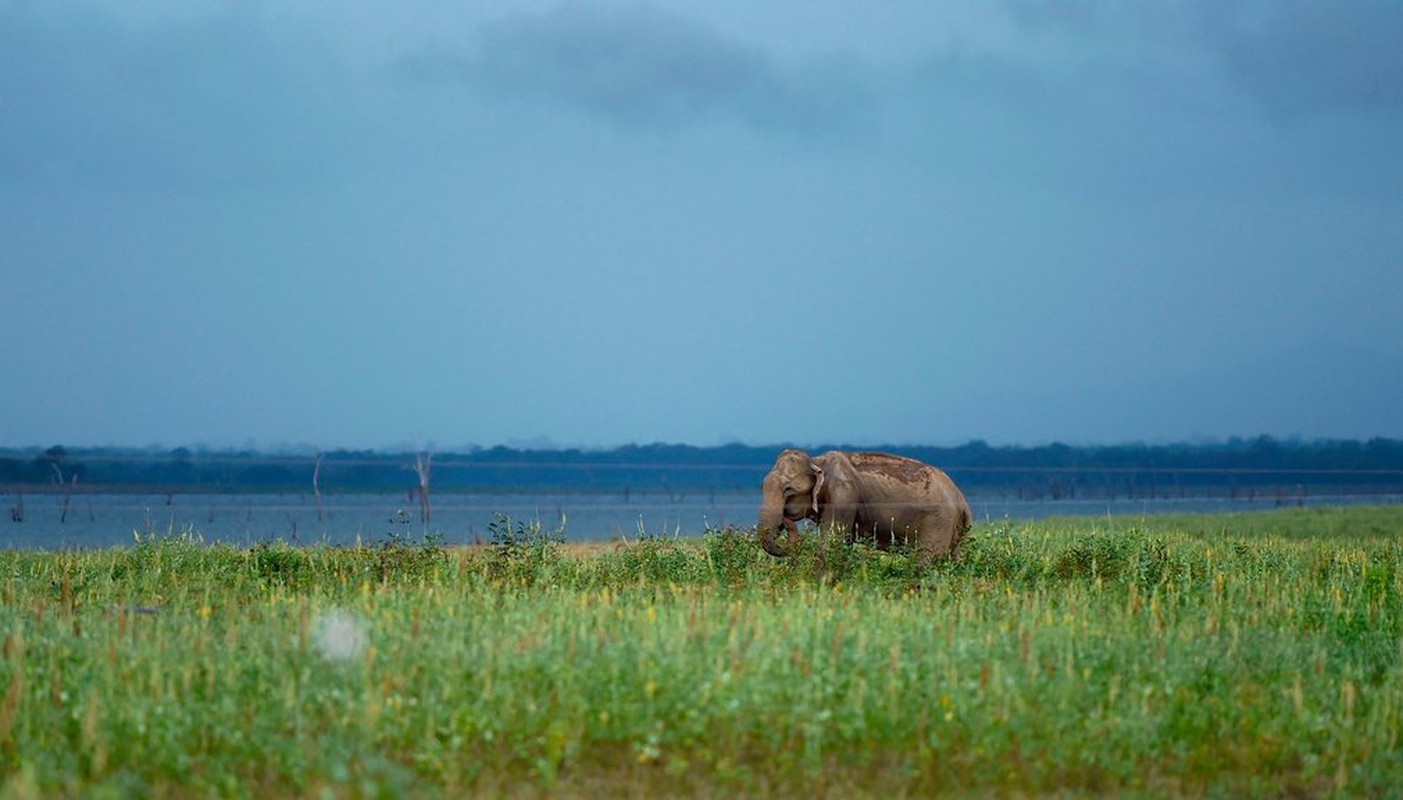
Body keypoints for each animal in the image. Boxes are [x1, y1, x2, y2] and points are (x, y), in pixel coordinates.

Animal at [757, 449, 976, 561]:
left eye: (788, 490)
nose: (785, 519)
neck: (817, 460)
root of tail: (962, 501)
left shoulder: (843, 496)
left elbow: (831, 544)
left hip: (938, 522)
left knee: (927, 559)